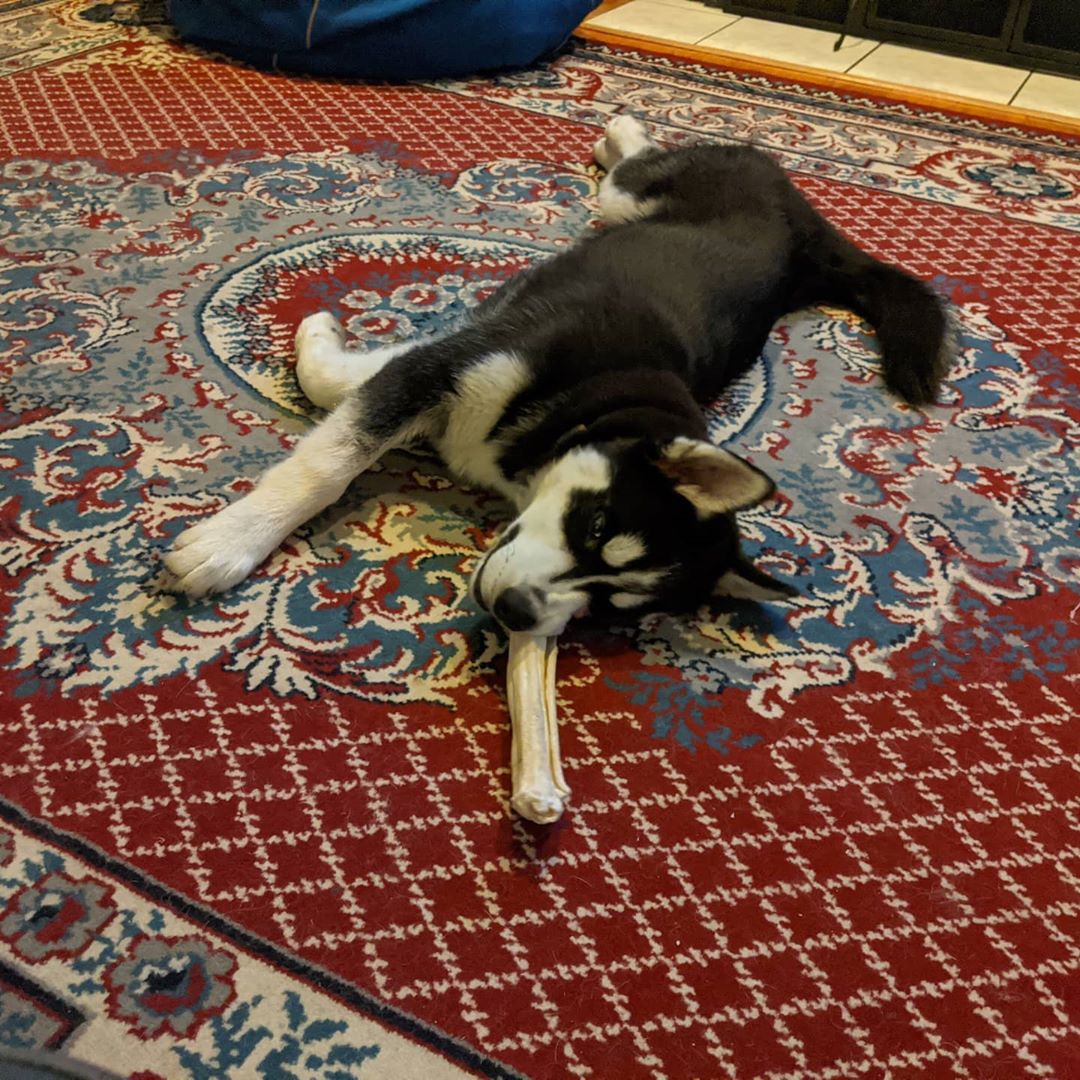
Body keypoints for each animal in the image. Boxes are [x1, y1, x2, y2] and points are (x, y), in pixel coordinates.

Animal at [162, 116, 946, 639]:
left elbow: (357, 389)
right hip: (631, 199)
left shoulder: (459, 360)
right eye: (596, 525)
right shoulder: (458, 360)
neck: (595, 402)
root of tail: (803, 227)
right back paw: (622, 125)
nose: (517, 613)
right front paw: (230, 543)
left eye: (612, 603)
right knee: (636, 163)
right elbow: (330, 455)